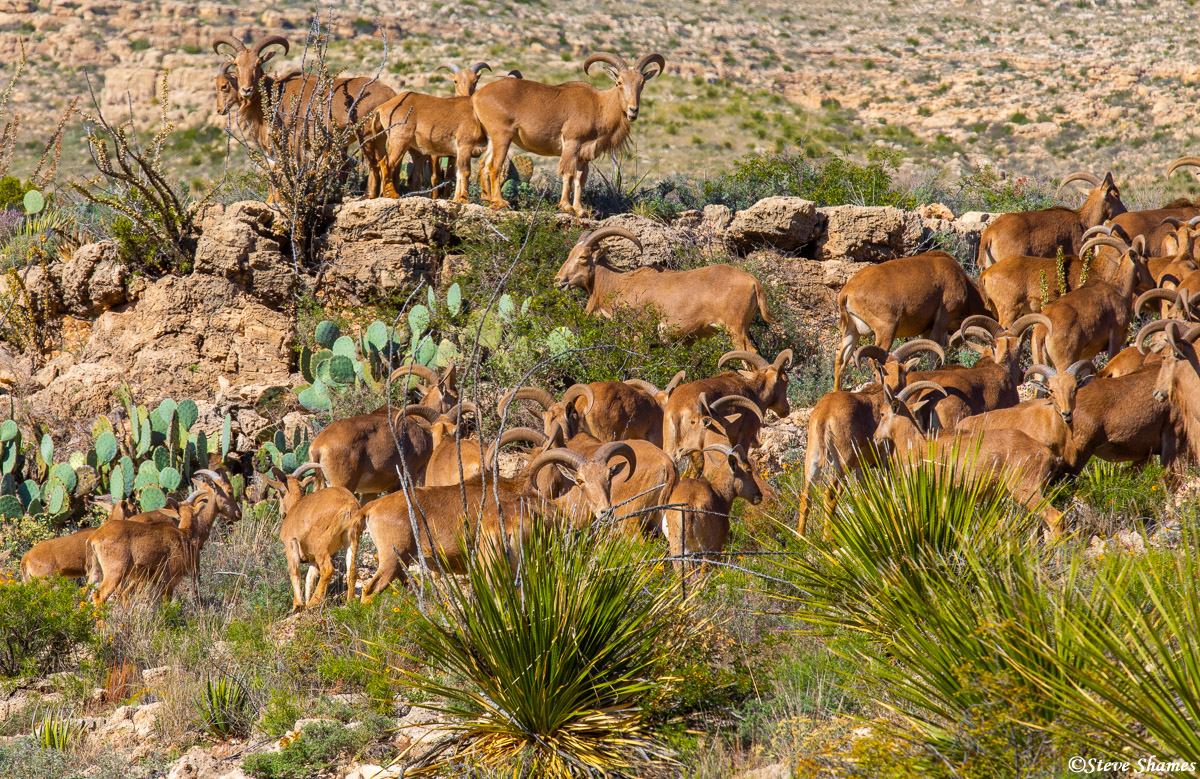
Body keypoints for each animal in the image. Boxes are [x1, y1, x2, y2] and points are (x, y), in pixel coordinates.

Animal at [554, 223, 777, 348]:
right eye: (570, 254)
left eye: (583, 257)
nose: (559, 280)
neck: (621, 283)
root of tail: (754, 283)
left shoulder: (637, 332)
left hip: (735, 330)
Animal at [830, 252, 988, 391]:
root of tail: (846, 293)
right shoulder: (942, 320)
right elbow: (935, 352)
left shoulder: (929, 329)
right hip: (886, 329)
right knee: (873, 360)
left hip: (851, 331)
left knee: (841, 360)